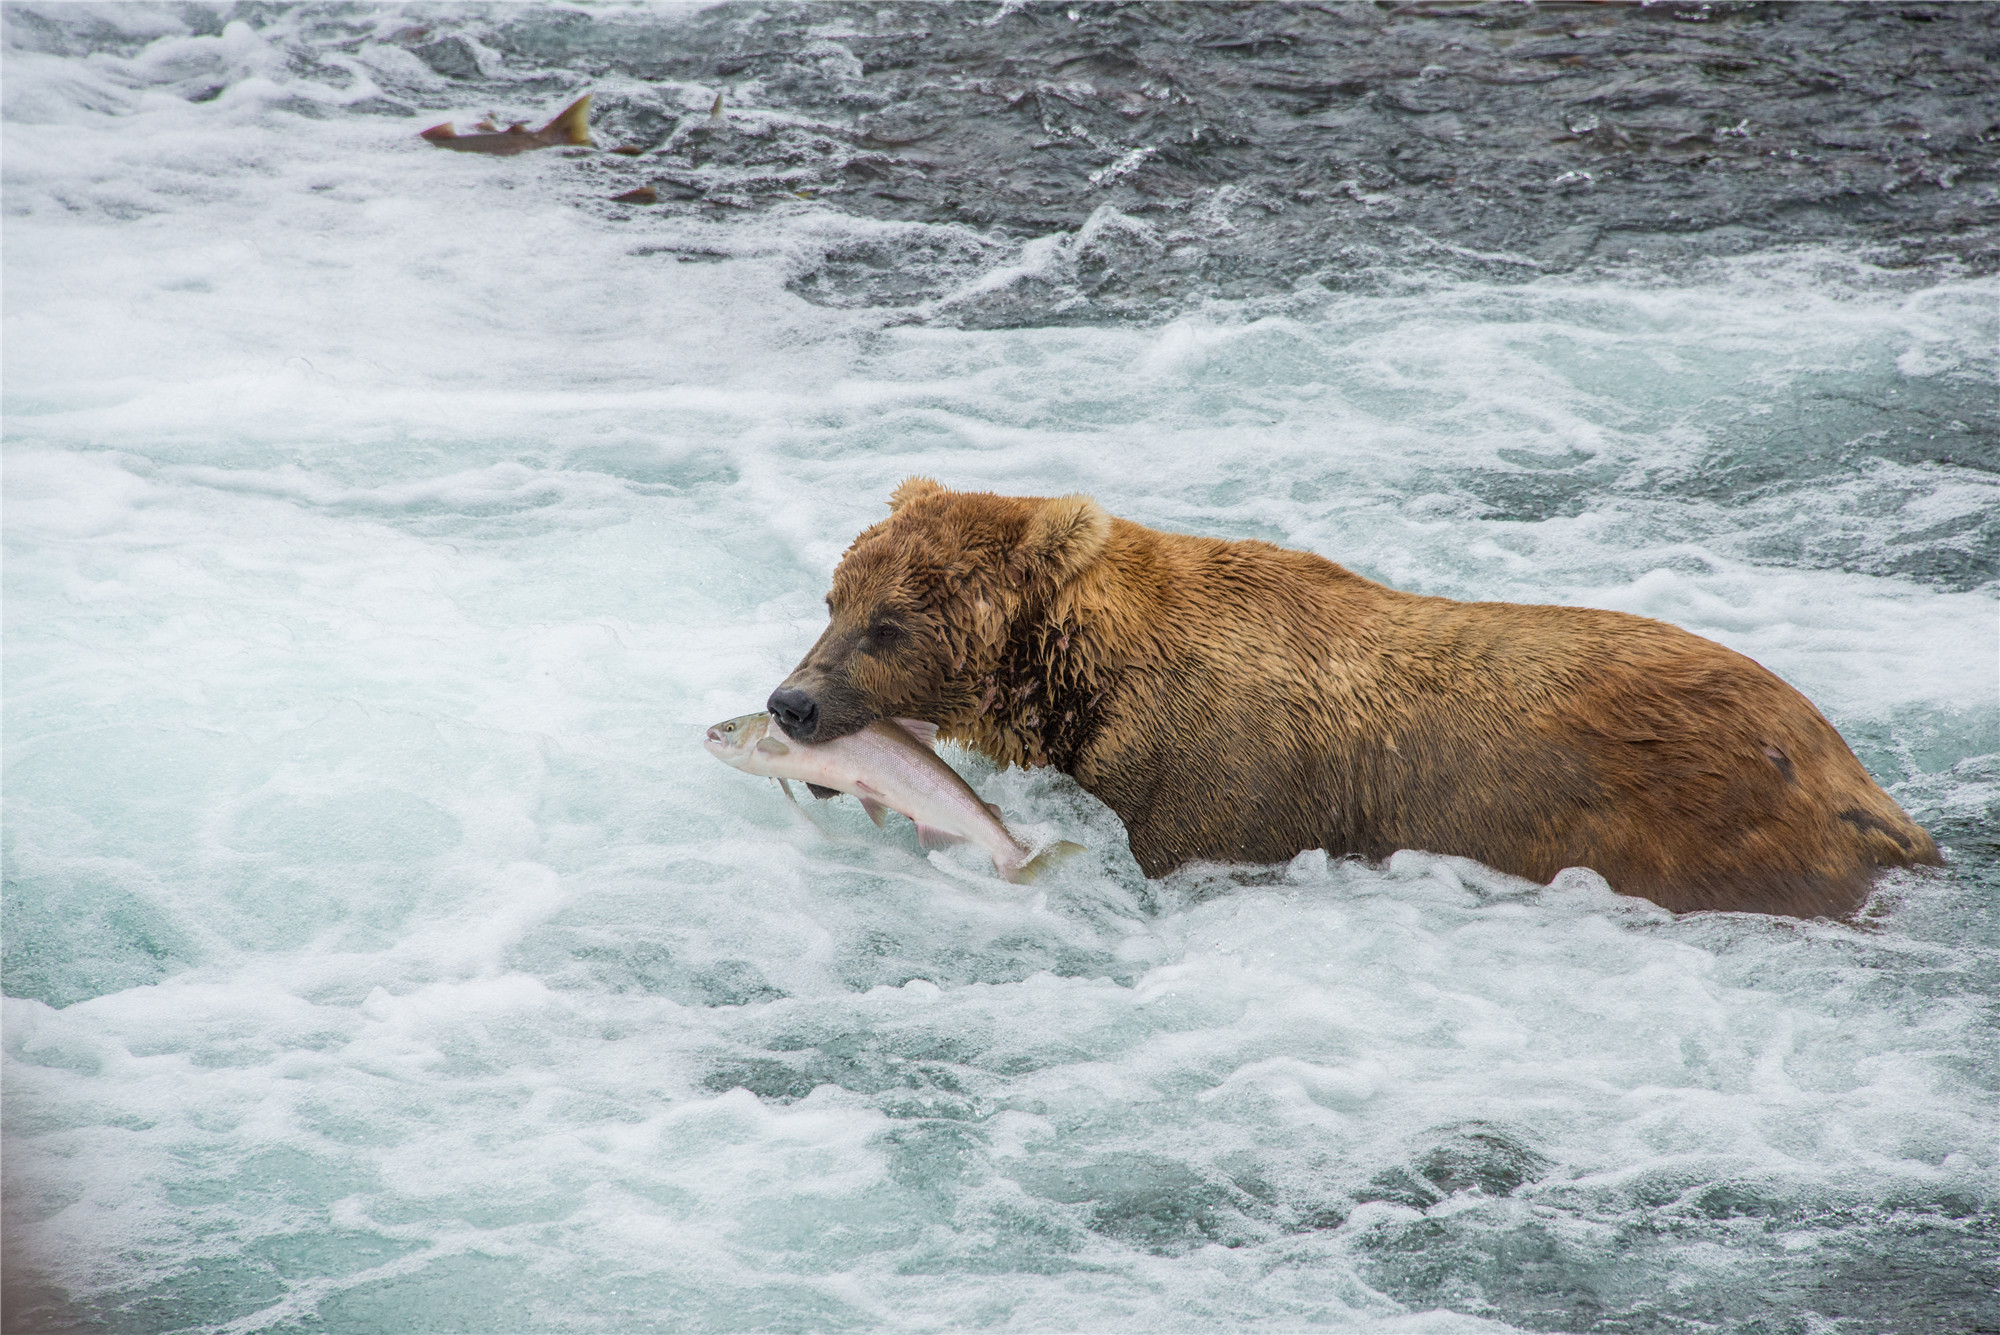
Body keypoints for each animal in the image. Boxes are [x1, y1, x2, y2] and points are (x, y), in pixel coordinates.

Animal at [764, 479, 1936, 919]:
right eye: (835, 595)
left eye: (889, 623)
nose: (790, 704)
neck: (1092, 685)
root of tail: (1854, 776)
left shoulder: (1221, 782)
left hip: (1709, 824)